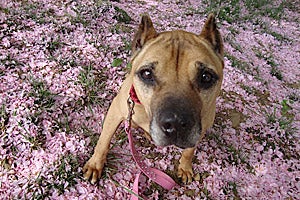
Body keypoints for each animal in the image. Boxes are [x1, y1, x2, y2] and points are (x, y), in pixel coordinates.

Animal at [83, 13, 224, 184]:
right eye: (146, 74)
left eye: (206, 77)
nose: (176, 124)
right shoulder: (116, 112)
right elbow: (104, 141)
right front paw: (95, 164)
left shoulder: (202, 128)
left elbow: (189, 151)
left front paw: (185, 167)